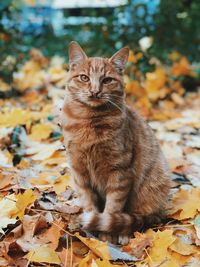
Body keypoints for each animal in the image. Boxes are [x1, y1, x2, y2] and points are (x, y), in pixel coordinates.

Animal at [60, 41, 170, 245]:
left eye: (107, 80)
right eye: (84, 77)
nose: (95, 91)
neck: (89, 121)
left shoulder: (119, 172)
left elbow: (112, 208)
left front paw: (106, 236)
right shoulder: (79, 171)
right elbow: (89, 202)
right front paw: (91, 232)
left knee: (136, 218)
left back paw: (124, 234)